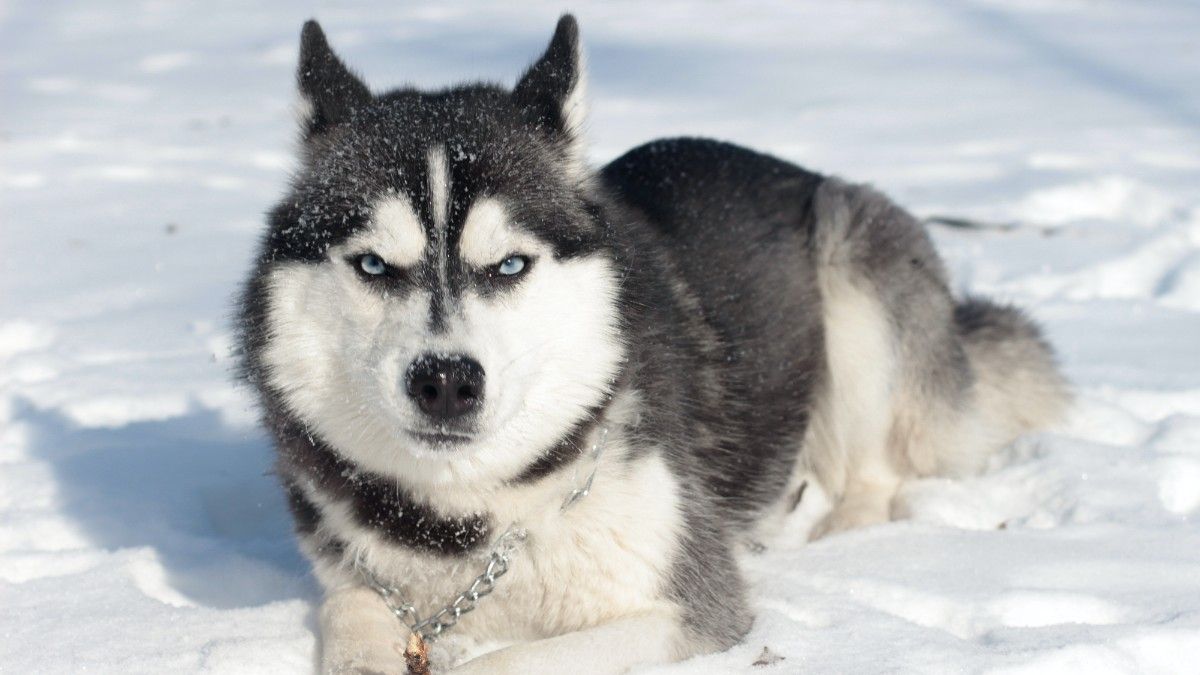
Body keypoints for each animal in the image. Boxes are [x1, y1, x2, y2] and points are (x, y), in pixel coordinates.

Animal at [237, 14, 1069, 674]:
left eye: (510, 264)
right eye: (374, 264)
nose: (445, 380)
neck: (470, 525)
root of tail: (796, 169)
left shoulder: (692, 611)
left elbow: (507, 662)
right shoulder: (357, 575)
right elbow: (347, 610)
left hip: (852, 267)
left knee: (874, 473)